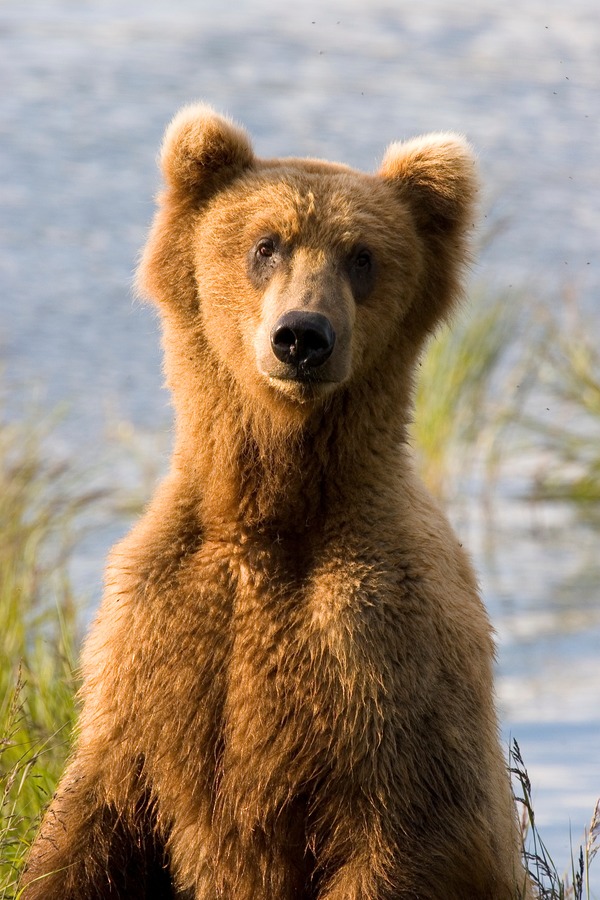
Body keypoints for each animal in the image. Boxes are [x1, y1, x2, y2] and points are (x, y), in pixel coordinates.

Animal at [23, 102, 528, 896]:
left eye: (361, 256)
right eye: (266, 244)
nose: (302, 336)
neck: (270, 508)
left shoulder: (383, 649)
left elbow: (412, 832)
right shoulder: (155, 637)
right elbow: (90, 822)